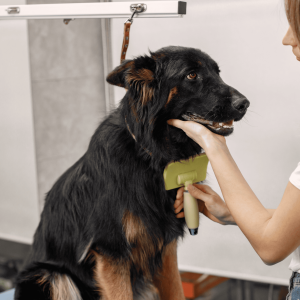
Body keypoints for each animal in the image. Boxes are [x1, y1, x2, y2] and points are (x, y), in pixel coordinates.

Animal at [14, 45, 248, 298]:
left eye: (217, 72)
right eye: (192, 75)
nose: (244, 104)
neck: (149, 154)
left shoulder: (165, 246)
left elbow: (176, 291)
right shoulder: (111, 253)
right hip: (50, 276)